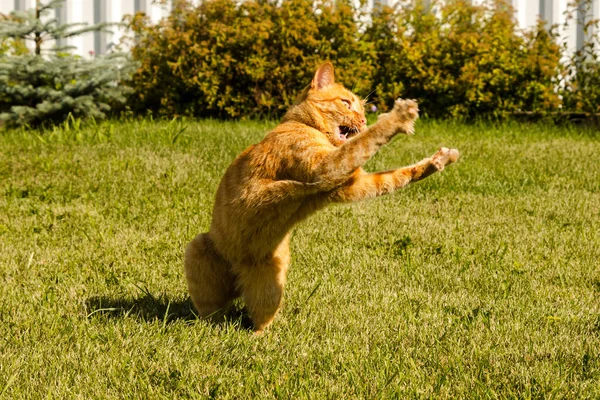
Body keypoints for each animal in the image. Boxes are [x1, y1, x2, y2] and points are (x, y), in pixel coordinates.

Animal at [185, 61, 458, 332]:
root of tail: (238, 279)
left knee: (259, 318)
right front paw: (401, 116)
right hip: (197, 248)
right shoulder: (325, 168)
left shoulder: (348, 184)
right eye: (346, 103)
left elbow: (392, 175)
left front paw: (437, 161)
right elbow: (366, 141)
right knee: (212, 315)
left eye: (362, 109)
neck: (305, 126)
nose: (363, 118)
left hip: (269, 284)